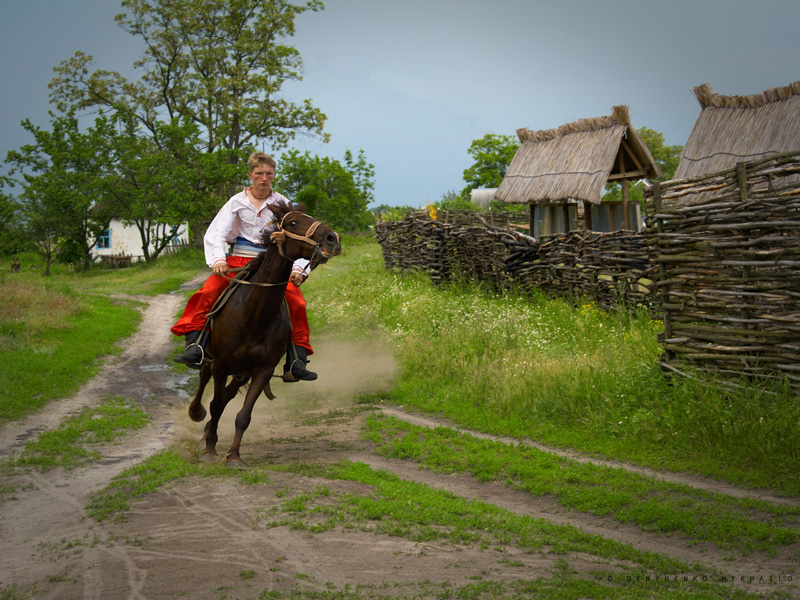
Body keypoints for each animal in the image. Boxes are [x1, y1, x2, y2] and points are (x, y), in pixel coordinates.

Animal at [189, 199, 342, 466]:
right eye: (293, 222)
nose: (332, 238)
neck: (253, 316)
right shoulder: (221, 365)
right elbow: (216, 405)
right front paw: (210, 449)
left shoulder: (262, 370)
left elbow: (243, 415)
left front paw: (234, 455)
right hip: (211, 359)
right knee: (204, 381)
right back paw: (197, 414)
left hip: (243, 372)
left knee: (228, 395)